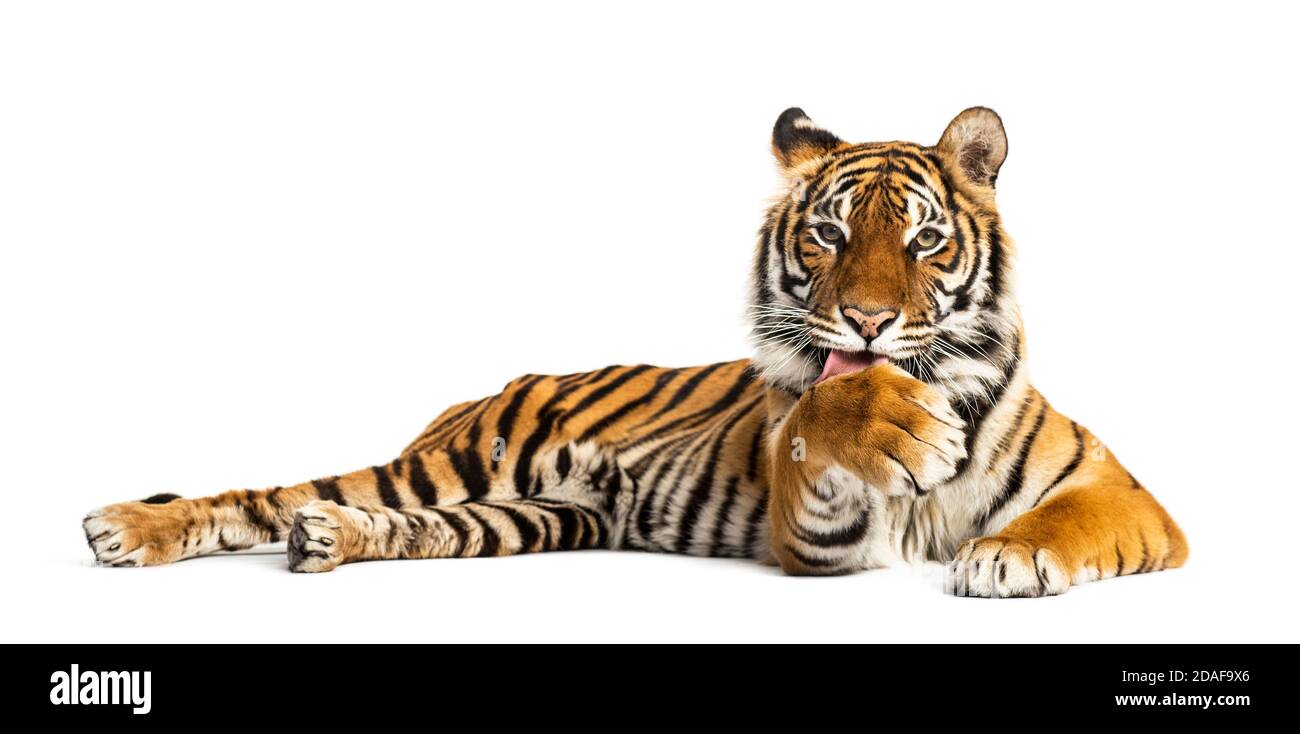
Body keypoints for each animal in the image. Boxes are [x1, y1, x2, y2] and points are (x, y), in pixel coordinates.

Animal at [83, 107, 1187, 597]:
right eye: (828, 235)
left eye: (924, 241)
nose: (868, 321)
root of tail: (476, 396)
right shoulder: (820, 537)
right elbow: (823, 418)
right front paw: (876, 416)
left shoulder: (1127, 495)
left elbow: (1071, 519)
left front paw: (1004, 553)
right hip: (455, 463)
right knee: (268, 494)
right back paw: (128, 527)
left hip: (539, 514)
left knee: (385, 522)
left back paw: (328, 541)